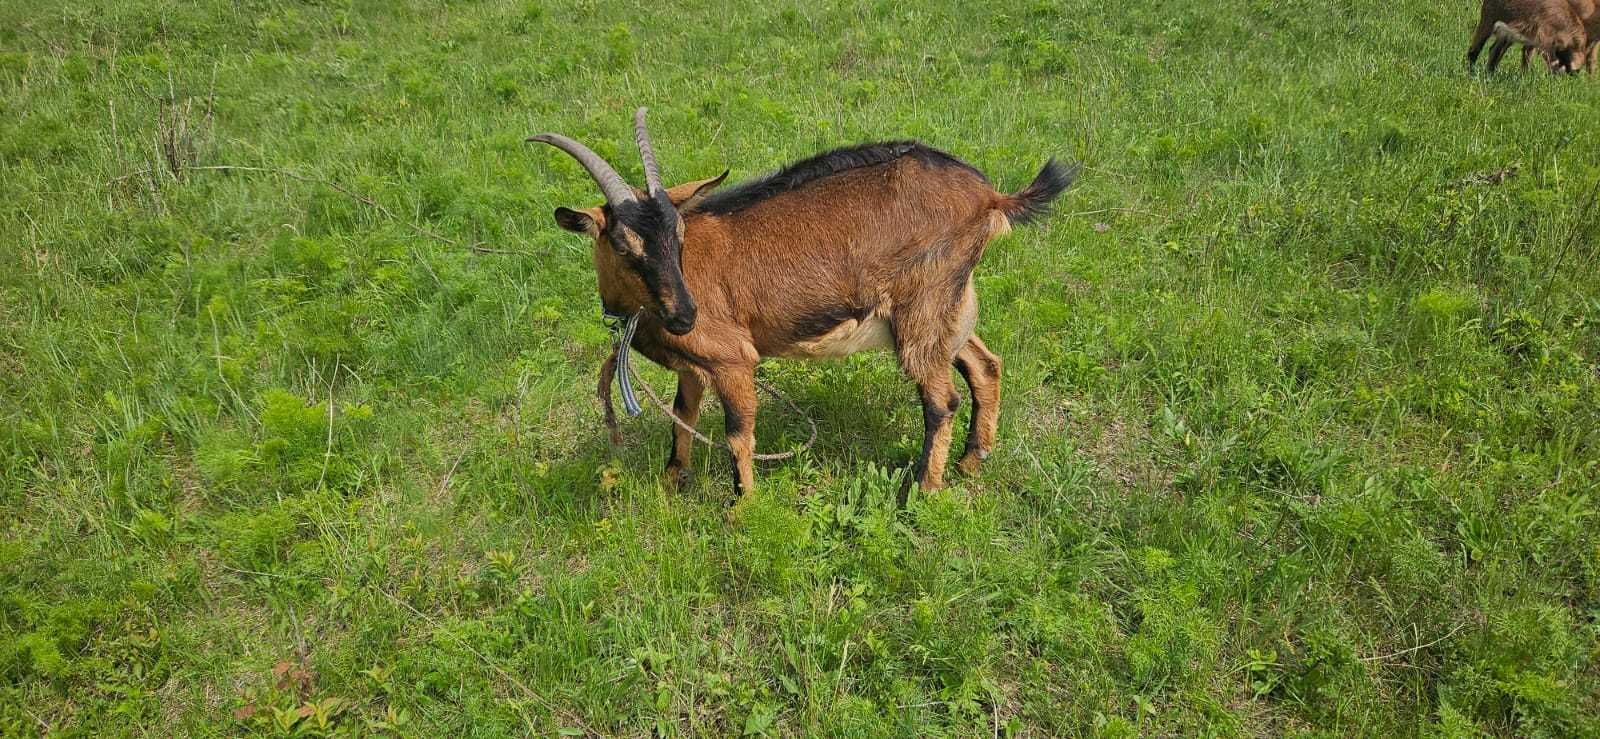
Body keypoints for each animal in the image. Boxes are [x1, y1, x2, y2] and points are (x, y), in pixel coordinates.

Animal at [528, 107, 1075, 502]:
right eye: (624, 246)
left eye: (678, 235)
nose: (686, 314)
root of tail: (991, 197)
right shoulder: (693, 366)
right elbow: (682, 418)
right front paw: (671, 482)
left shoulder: (732, 359)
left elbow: (737, 433)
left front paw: (741, 508)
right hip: (948, 304)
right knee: (985, 365)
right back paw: (971, 461)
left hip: (921, 305)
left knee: (942, 400)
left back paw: (921, 490)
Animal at [1465, 0, 1593, 72]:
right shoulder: (1544, 38)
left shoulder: (1533, 39)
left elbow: (1527, 57)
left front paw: (1524, 76)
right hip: (1488, 19)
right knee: (1475, 48)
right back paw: (1470, 71)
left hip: (1505, 32)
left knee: (1494, 50)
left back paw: (1489, 73)